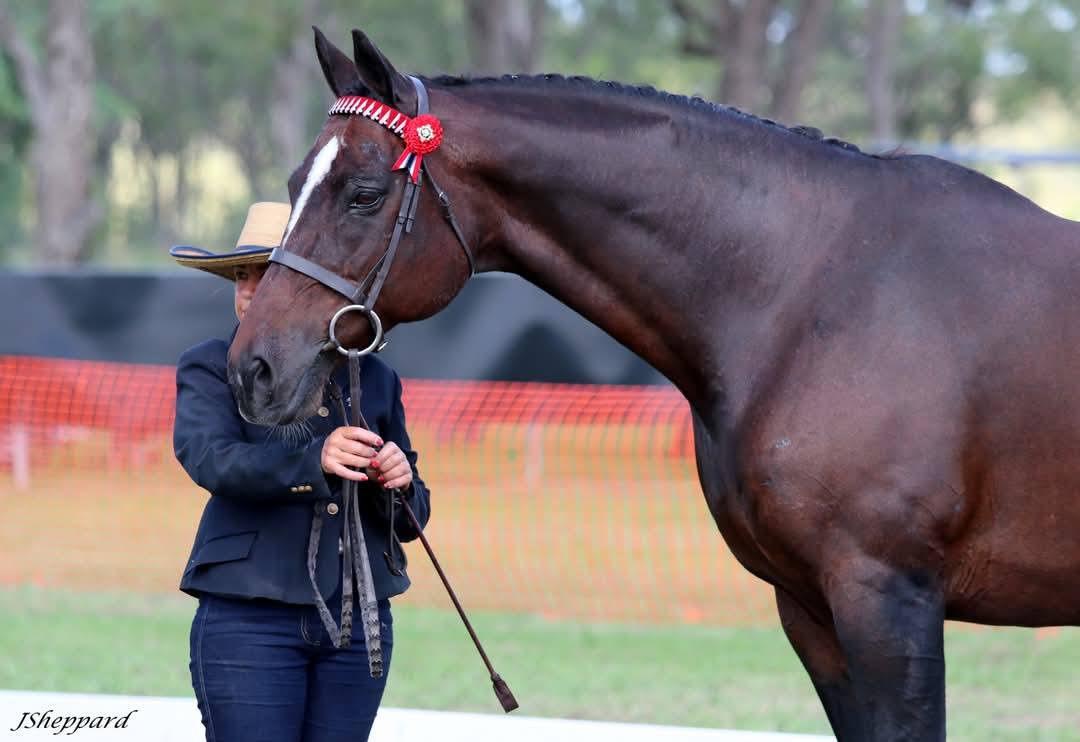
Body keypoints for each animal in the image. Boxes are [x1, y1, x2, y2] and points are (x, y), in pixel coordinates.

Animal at [228, 27, 1080, 740]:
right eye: (296, 182)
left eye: (364, 193)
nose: (253, 368)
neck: (816, 290)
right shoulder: (811, 609)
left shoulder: (888, 601)